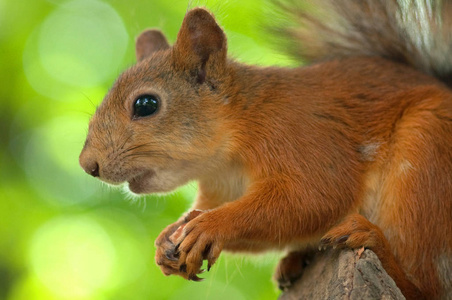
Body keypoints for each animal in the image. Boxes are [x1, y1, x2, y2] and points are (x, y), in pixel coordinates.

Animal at [79, 1, 450, 298]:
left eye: (146, 105)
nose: (88, 165)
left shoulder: (302, 138)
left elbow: (313, 198)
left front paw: (209, 225)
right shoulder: (219, 188)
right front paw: (168, 237)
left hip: (424, 160)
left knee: (427, 287)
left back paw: (372, 241)